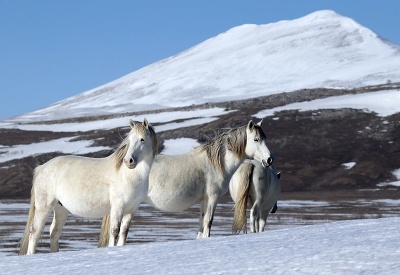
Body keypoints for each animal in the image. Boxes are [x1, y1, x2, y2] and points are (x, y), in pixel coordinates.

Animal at [18, 117, 157, 256]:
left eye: (142, 139)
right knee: (35, 232)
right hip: (43, 207)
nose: (129, 161)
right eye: (130, 139)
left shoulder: (131, 210)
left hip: (61, 209)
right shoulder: (118, 207)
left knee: (54, 232)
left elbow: (124, 232)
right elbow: (114, 231)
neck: (128, 175)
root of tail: (42, 168)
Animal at [99, 119, 276, 247]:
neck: (215, 162)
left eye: (265, 138)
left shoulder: (204, 200)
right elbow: (208, 222)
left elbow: (202, 223)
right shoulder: (213, 197)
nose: (269, 159)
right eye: (256, 139)